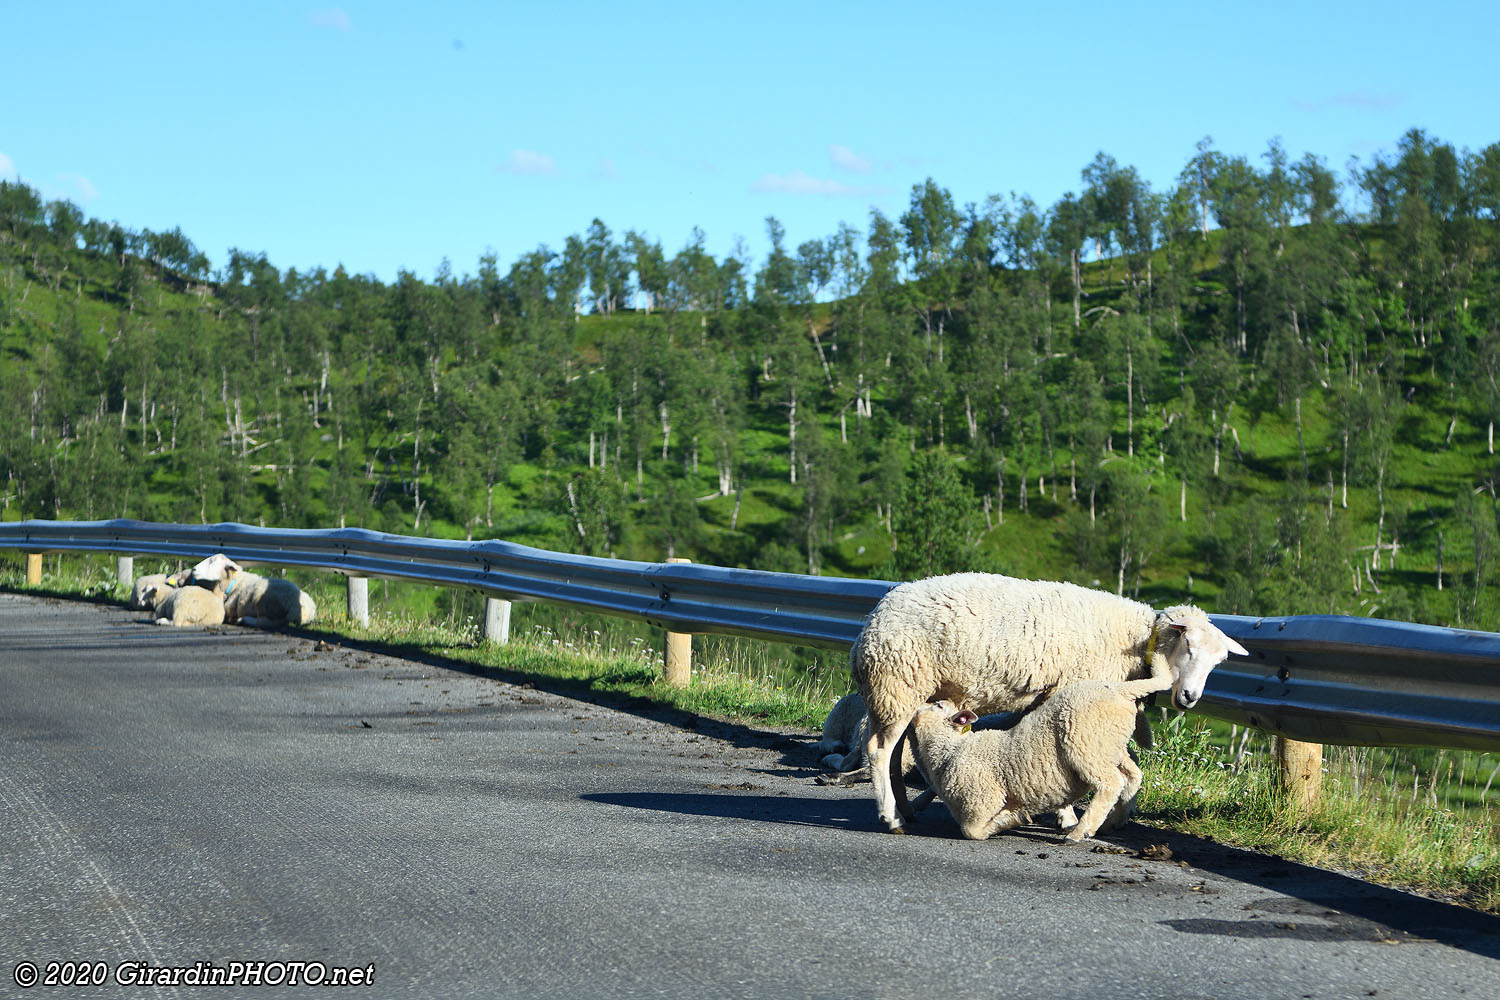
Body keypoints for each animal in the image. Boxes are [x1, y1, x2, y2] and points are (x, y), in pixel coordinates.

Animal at [900, 669, 1175, 843]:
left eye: (938, 706)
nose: (914, 706)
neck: (949, 750)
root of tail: (1120, 689)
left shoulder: (983, 800)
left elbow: (972, 831)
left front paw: (1012, 819)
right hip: (1110, 745)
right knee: (1133, 775)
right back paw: (1111, 822)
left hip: (1086, 744)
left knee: (1110, 783)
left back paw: (1080, 833)